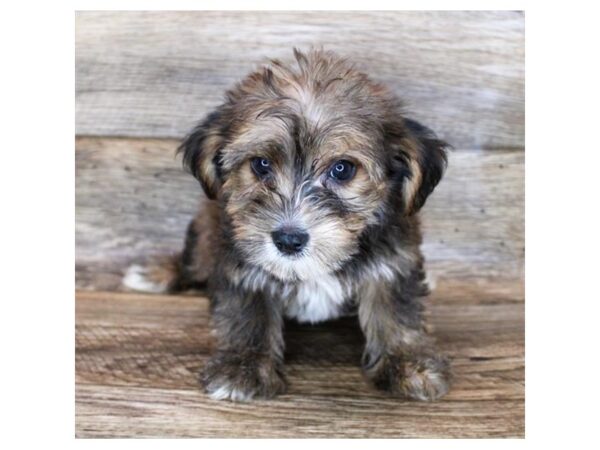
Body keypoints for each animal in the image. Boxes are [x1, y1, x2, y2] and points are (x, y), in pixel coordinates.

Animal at [123, 48, 450, 400]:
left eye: (342, 169)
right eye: (261, 164)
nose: (289, 240)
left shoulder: (394, 259)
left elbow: (397, 309)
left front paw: (410, 363)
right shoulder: (238, 259)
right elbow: (248, 310)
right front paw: (243, 367)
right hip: (202, 232)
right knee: (192, 264)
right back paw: (156, 273)